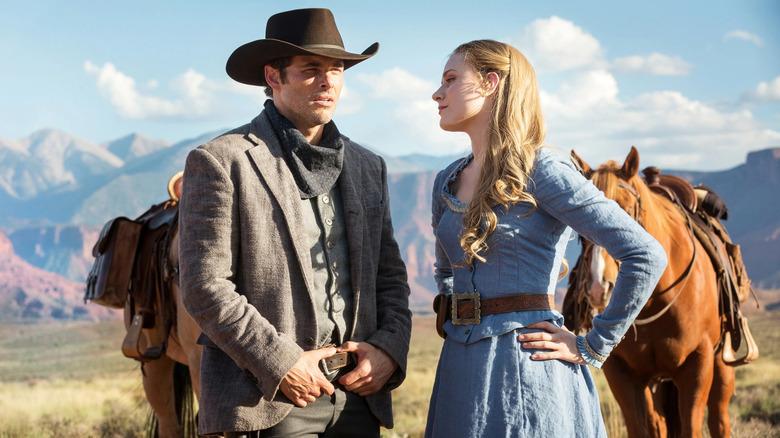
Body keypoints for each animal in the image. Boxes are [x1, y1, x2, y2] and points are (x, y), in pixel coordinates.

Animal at [564, 148, 736, 438]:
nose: (599, 287)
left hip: (722, 364)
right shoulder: (621, 371)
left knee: (719, 420)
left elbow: (692, 427)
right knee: (660, 423)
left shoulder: (698, 363)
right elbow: (640, 427)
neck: (655, 301)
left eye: (626, 213)